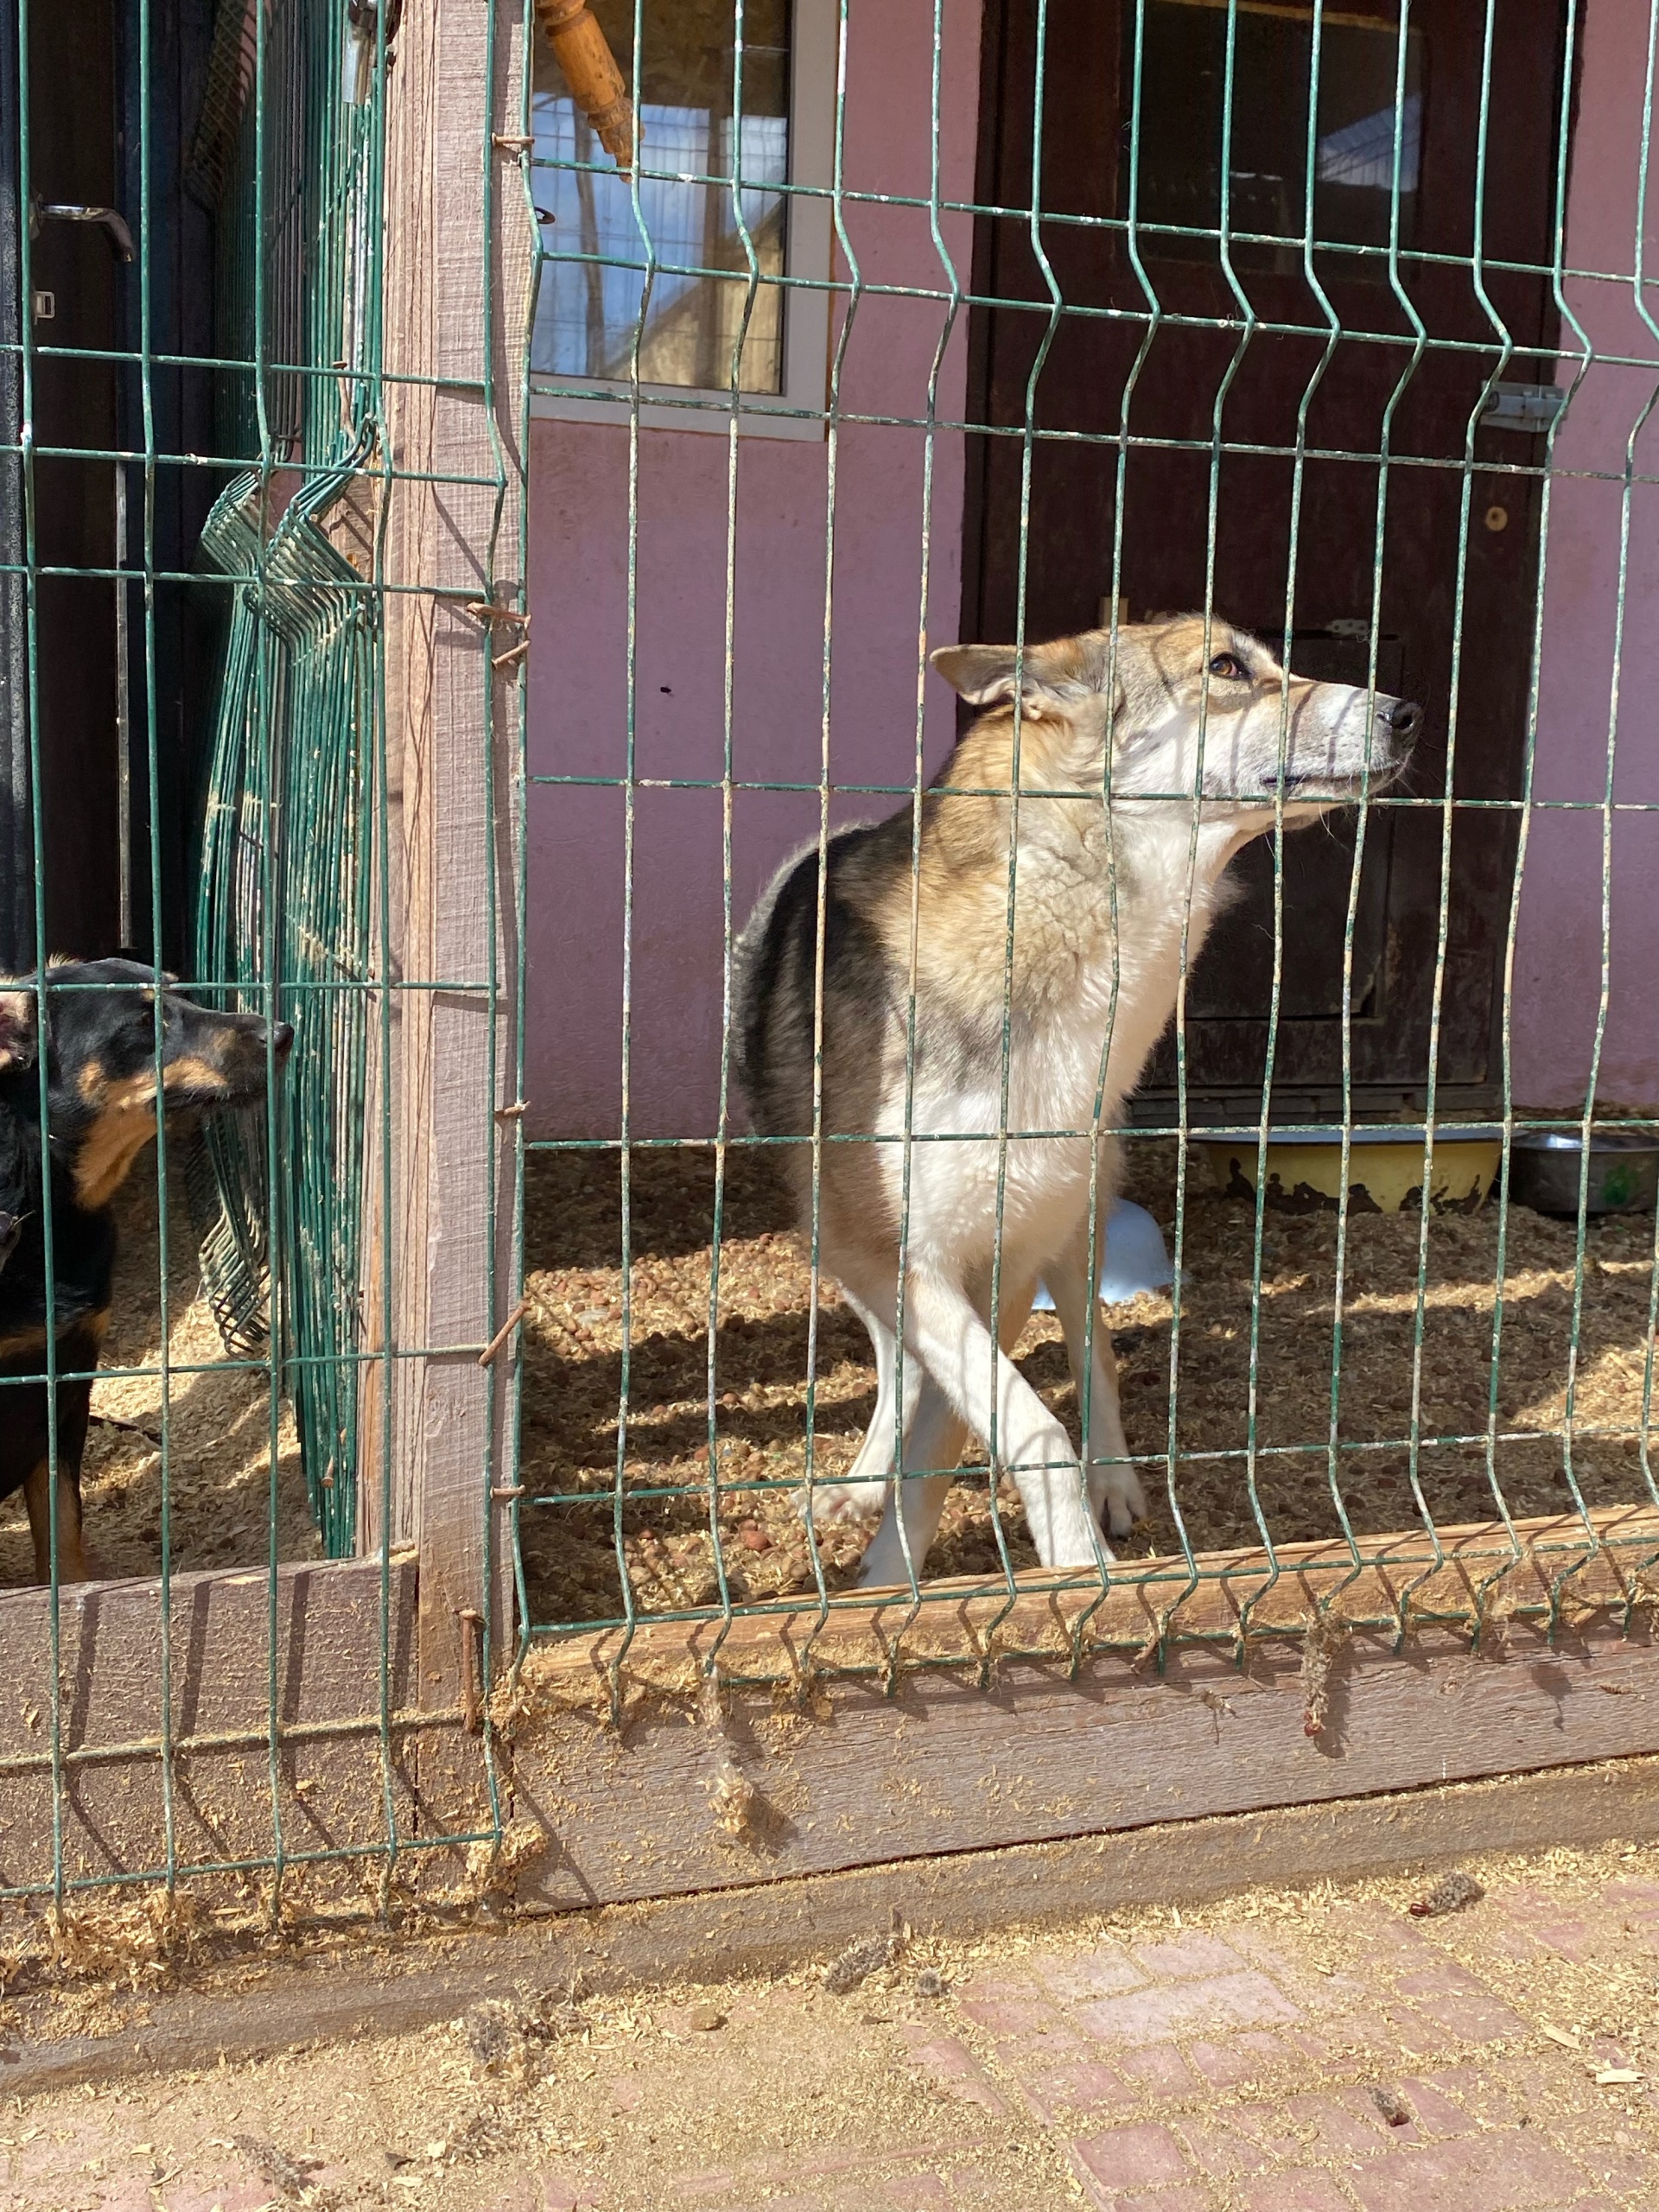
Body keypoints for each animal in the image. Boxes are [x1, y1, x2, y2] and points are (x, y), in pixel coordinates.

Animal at [0, 960, 291, 1583]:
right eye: (141, 1020)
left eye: (182, 992)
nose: (282, 1034)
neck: (49, 1213)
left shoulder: (67, 1386)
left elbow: (63, 1530)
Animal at [734, 619, 1424, 1592]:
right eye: (1226, 667)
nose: (1407, 713)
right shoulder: (900, 1256)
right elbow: (1003, 1419)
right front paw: (896, 1583)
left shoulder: (1010, 1259)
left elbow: (975, 1433)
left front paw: (1046, 1564)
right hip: (840, 1247)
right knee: (898, 1360)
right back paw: (862, 1485)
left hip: (1076, 1210)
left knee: (1088, 1340)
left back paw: (1115, 1483)